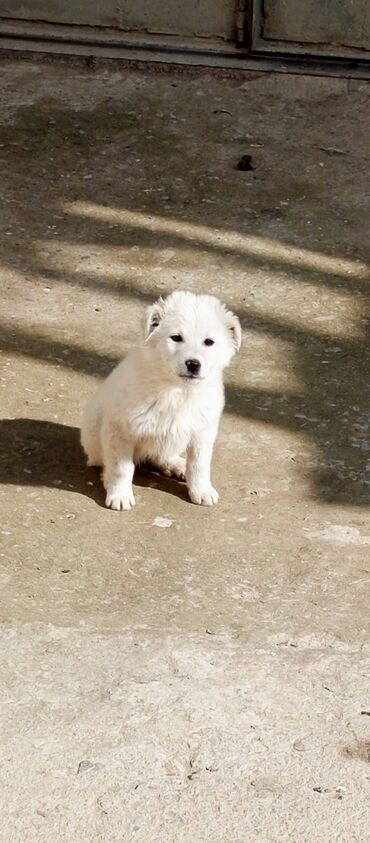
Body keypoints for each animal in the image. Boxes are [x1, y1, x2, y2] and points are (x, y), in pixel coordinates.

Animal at [80, 294, 241, 512]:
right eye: (176, 338)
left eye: (209, 342)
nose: (193, 364)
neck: (177, 389)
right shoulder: (120, 429)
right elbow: (121, 468)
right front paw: (120, 495)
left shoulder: (202, 431)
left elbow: (199, 464)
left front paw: (202, 490)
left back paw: (177, 466)